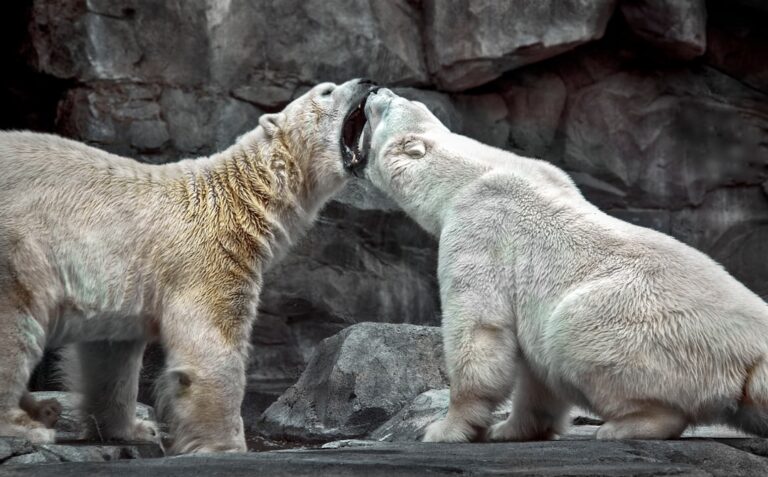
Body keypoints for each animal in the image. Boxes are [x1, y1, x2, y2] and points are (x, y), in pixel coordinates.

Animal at [0, 78, 377, 453]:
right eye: (326, 90)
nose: (367, 82)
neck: (238, 201)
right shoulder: (208, 259)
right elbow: (212, 347)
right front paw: (227, 446)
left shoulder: (122, 279)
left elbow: (111, 353)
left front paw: (135, 428)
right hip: (18, 245)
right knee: (16, 320)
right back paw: (24, 425)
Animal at [347, 88, 768, 442]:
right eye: (400, 98)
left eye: (389, 106)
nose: (374, 89)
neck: (472, 175)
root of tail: (753, 351)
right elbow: (535, 372)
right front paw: (510, 429)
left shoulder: (479, 228)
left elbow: (479, 325)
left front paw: (445, 429)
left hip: (648, 325)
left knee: (572, 329)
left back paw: (622, 426)